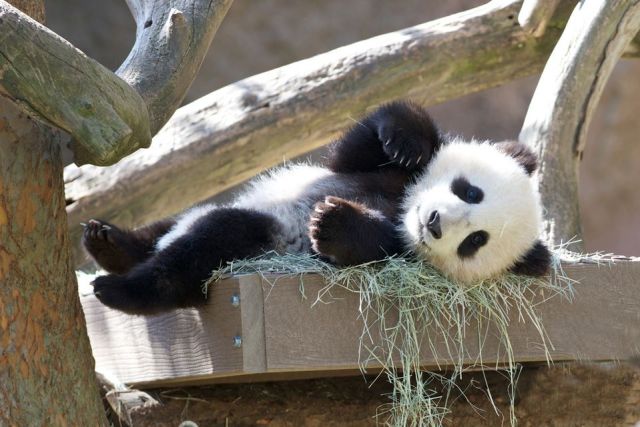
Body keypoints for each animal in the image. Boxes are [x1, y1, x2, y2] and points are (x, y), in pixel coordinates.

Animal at [83, 100, 551, 314]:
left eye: (475, 241)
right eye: (471, 192)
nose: (434, 223)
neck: (399, 207)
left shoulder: (401, 252)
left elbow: (372, 249)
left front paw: (336, 223)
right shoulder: (369, 173)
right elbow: (355, 149)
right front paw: (408, 140)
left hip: (257, 237)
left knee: (207, 243)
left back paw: (122, 288)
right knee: (165, 228)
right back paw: (110, 242)